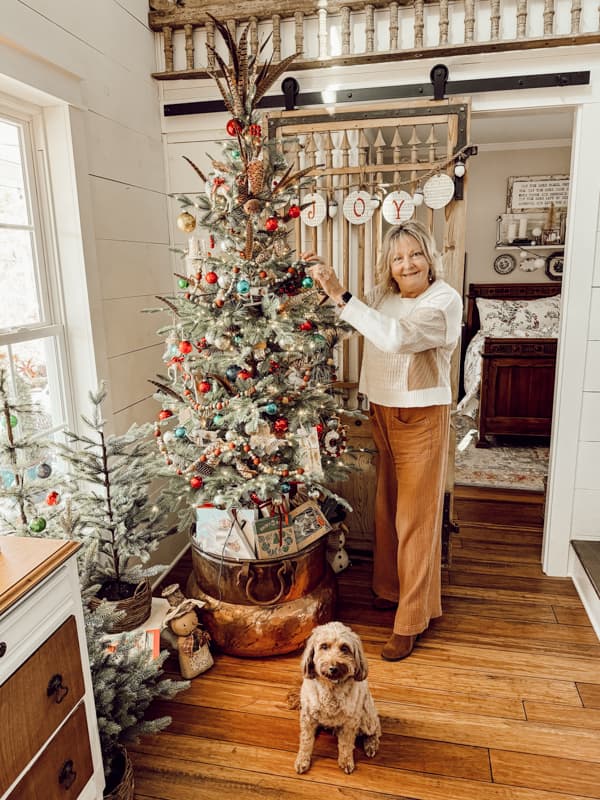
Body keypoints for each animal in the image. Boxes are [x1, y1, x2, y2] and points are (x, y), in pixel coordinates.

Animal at [294, 620, 380, 776]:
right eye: (324, 646)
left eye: (344, 648)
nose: (333, 667)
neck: (331, 689)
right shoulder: (307, 717)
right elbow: (306, 741)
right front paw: (302, 760)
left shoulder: (350, 721)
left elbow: (346, 744)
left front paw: (346, 761)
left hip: (367, 717)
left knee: (376, 730)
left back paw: (371, 745)